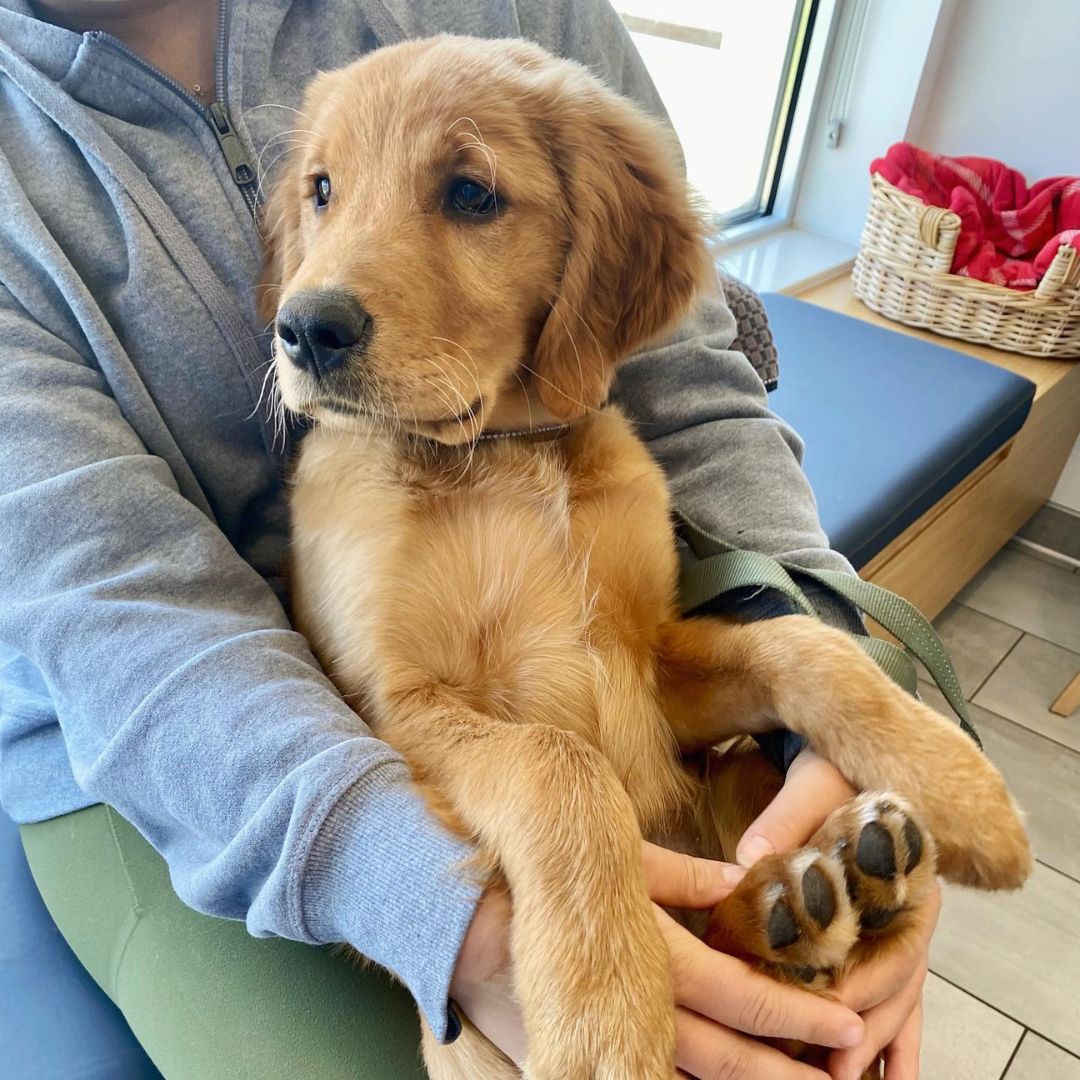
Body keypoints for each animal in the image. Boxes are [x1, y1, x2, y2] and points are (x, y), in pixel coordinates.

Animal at [259, 35, 1028, 1080]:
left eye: (470, 194)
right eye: (323, 189)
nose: (305, 330)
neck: (504, 451)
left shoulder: (648, 656)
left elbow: (799, 645)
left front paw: (960, 785)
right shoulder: (394, 703)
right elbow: (561, 764)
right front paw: (606, 1017)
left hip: (735, 777)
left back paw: (841, 880)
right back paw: (804, 903)